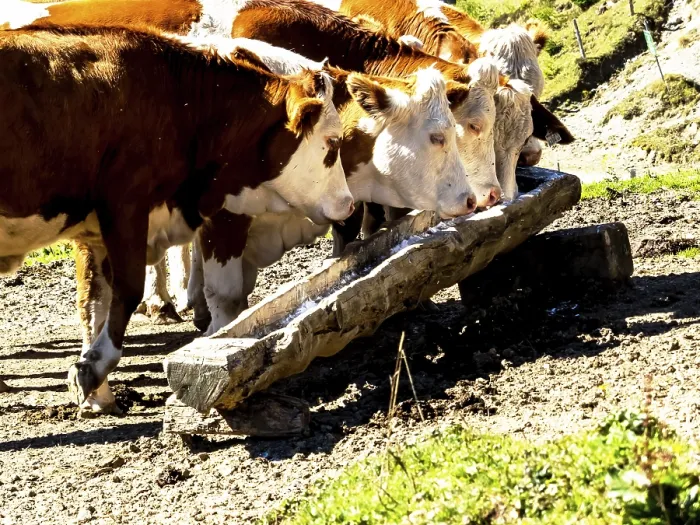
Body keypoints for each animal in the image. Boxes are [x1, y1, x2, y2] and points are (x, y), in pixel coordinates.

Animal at [0, 25, 355, 413]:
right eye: (333, 143)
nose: (349, 204)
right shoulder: (126, 206)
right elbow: (130, 291)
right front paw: (93, 367)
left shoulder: (98, 230)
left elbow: (98, 301)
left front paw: (95, 385)